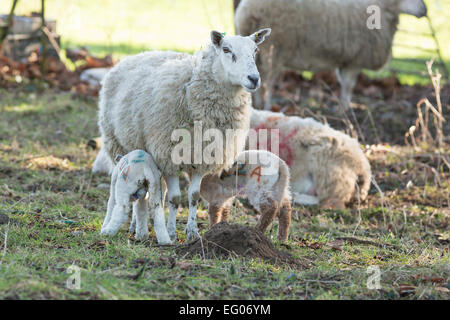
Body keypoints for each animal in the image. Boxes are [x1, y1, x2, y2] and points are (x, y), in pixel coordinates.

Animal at [97, 29, 270, 240]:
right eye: (227, 50)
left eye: (255, 51)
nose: (254, 79)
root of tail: (135, 55)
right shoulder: (168, 155)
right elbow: (175, 197)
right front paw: (171, 231)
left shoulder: (203, 157)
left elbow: (193, 197)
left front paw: (192, 232)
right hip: (116, 143)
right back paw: (134, 225)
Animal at [236, 0, 428, 109]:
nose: (425, 11)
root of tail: (246, 13)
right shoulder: (354, 61)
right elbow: (349, 86)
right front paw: (346, 110)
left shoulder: (345, 61)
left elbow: (344, 84)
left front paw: (343, 108)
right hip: (275, 52)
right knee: (267, 85)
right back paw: (266, 107)